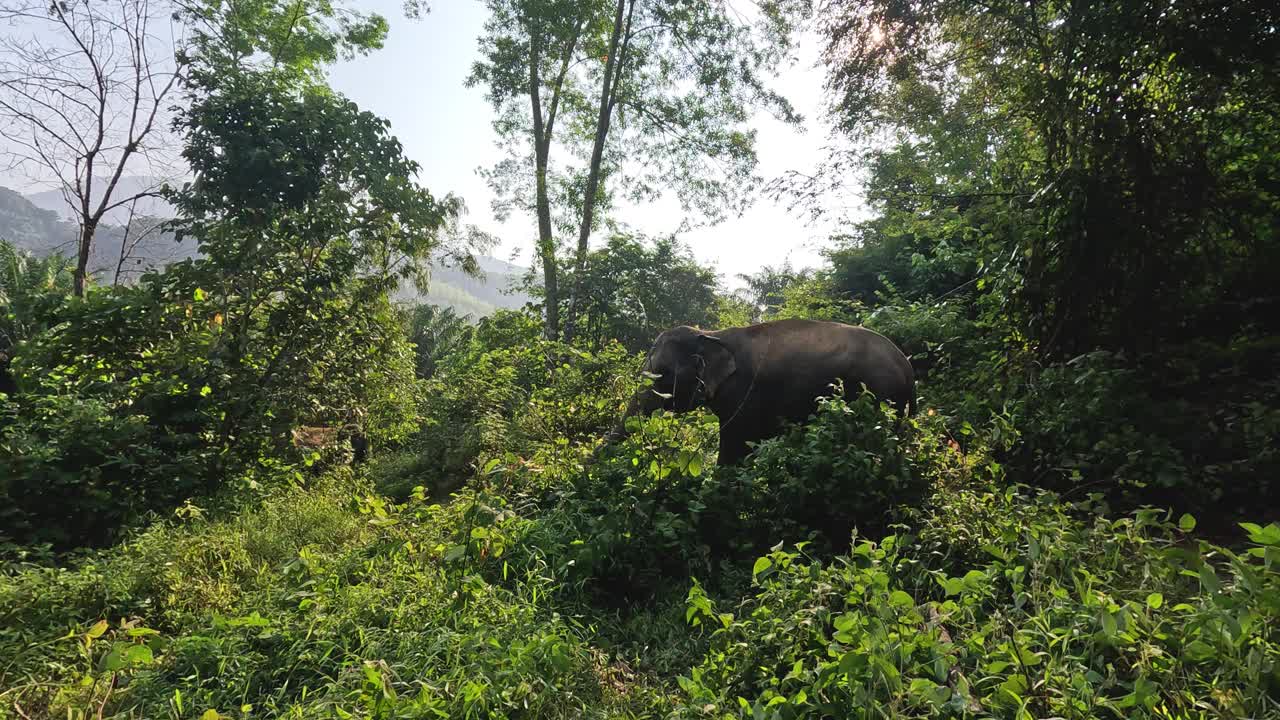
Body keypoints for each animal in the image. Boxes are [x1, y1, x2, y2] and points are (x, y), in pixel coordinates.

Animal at [604, 316, 916, 461]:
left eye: (664, 375)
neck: (710, 334)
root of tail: (907, 366)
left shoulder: (741, 394)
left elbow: (735, 445)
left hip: (878, 395)